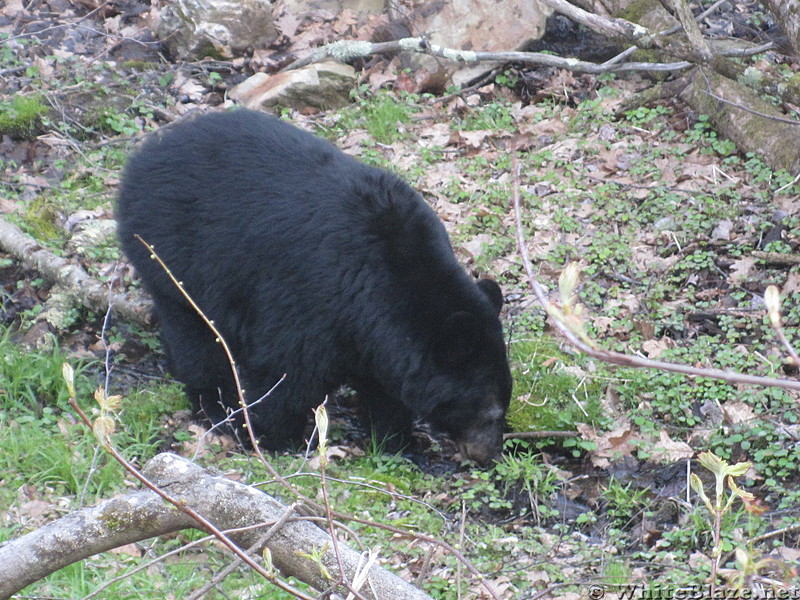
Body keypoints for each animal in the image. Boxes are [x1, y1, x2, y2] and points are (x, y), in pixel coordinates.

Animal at [115, 109, 510, 464]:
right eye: (490, 411)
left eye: (504, 404)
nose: (489, 454)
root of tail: (144, 155)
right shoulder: (314, 297)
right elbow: (288, 370)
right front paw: (271, 436)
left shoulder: (374, 332)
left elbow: (383, 388)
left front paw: (399, 441)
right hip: (174, 256)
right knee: (195, 337)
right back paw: (213, 405)